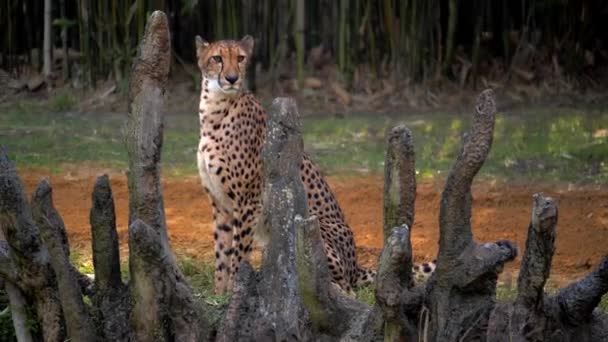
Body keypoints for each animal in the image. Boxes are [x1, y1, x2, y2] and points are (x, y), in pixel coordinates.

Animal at [196, 36, 436, 296]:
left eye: (240, 58)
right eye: (217, 58)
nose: (232, 78)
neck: (215, 111)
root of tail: (355, 266)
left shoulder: (248, 201)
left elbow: (237, 255)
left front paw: (232, 292)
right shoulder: (220, 204)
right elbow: (222, 254)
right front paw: (218, 294)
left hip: (310, 229)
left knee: (344, 288)